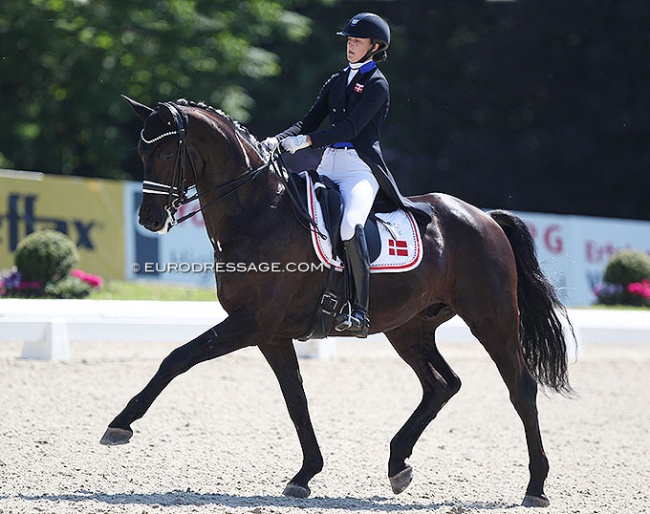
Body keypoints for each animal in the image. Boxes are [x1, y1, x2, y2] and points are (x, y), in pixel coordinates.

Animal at [101, 98, 572, 506]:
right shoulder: (270, 334)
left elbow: (178, 357)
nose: (149, 220)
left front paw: (120, 425)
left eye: (166, 152)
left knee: (520, 387)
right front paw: (305, 474)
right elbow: (296, 399)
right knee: (443, 384)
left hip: (491, 318)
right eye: (141, 152)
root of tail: (484, 216)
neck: (258, 212)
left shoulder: (250, 322)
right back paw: (398, 464)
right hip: (409, 328)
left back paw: (535, 487)